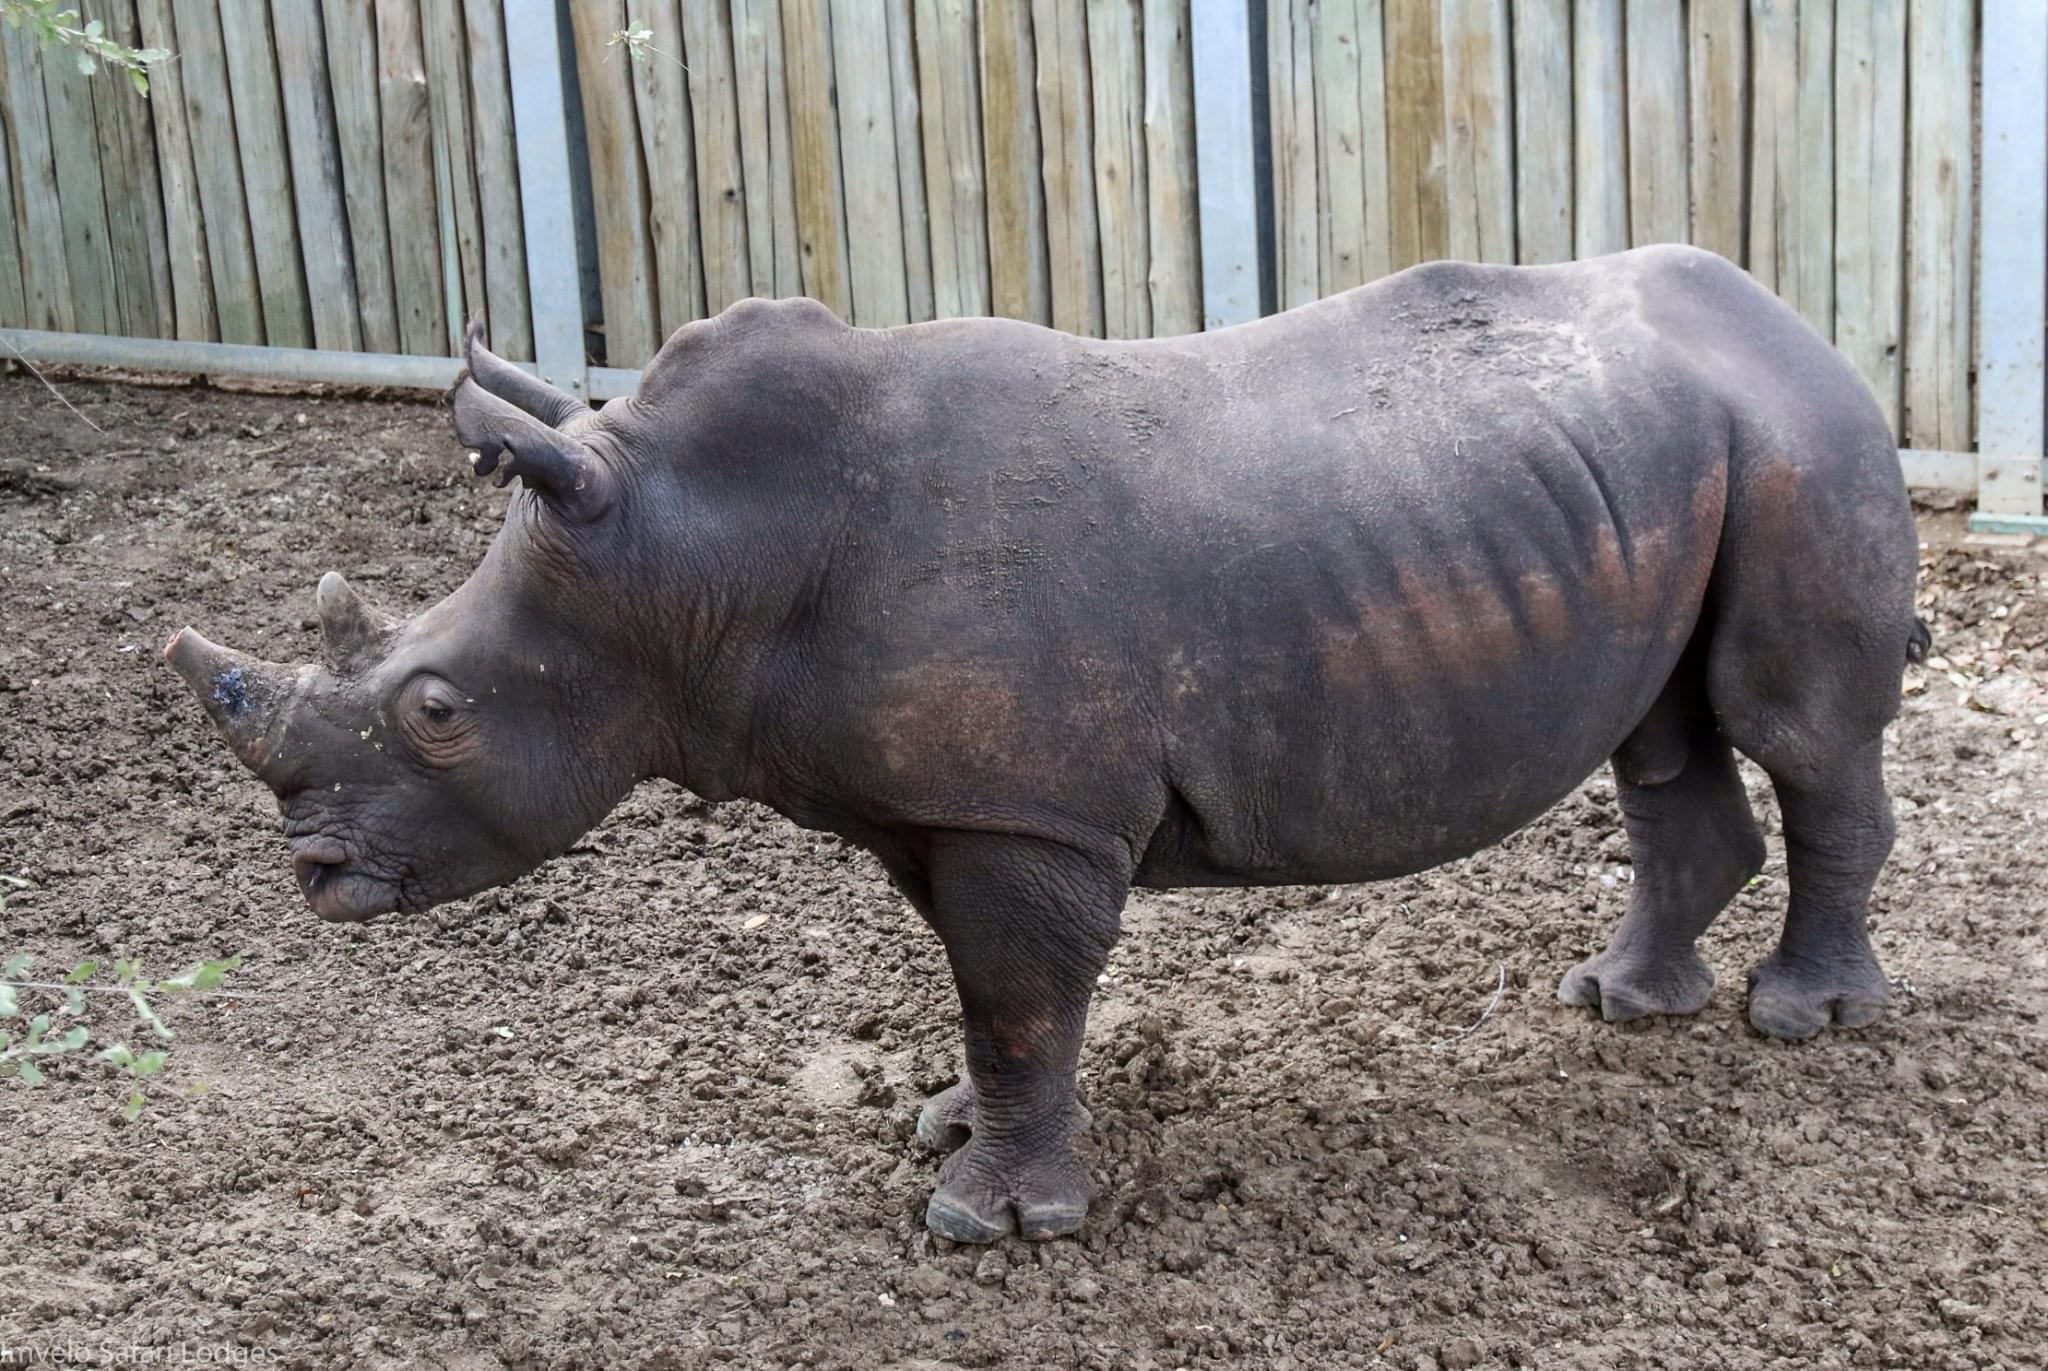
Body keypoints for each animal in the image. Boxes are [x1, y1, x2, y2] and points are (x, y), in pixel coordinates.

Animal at [167, 245, 1927, 1243]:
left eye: (438, 709)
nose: (313, 869)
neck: (690, 557)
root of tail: (1785, 310)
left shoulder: (1028, 812)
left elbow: (1019, 997)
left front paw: (995, 1222)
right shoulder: (941, 800)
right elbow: (985, 999)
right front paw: (954, 1129)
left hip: (1802, 428)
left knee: (1796, 726)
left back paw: (1803, 1022)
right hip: (1659, 461)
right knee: (1663, 739)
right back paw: (1624, 1004)